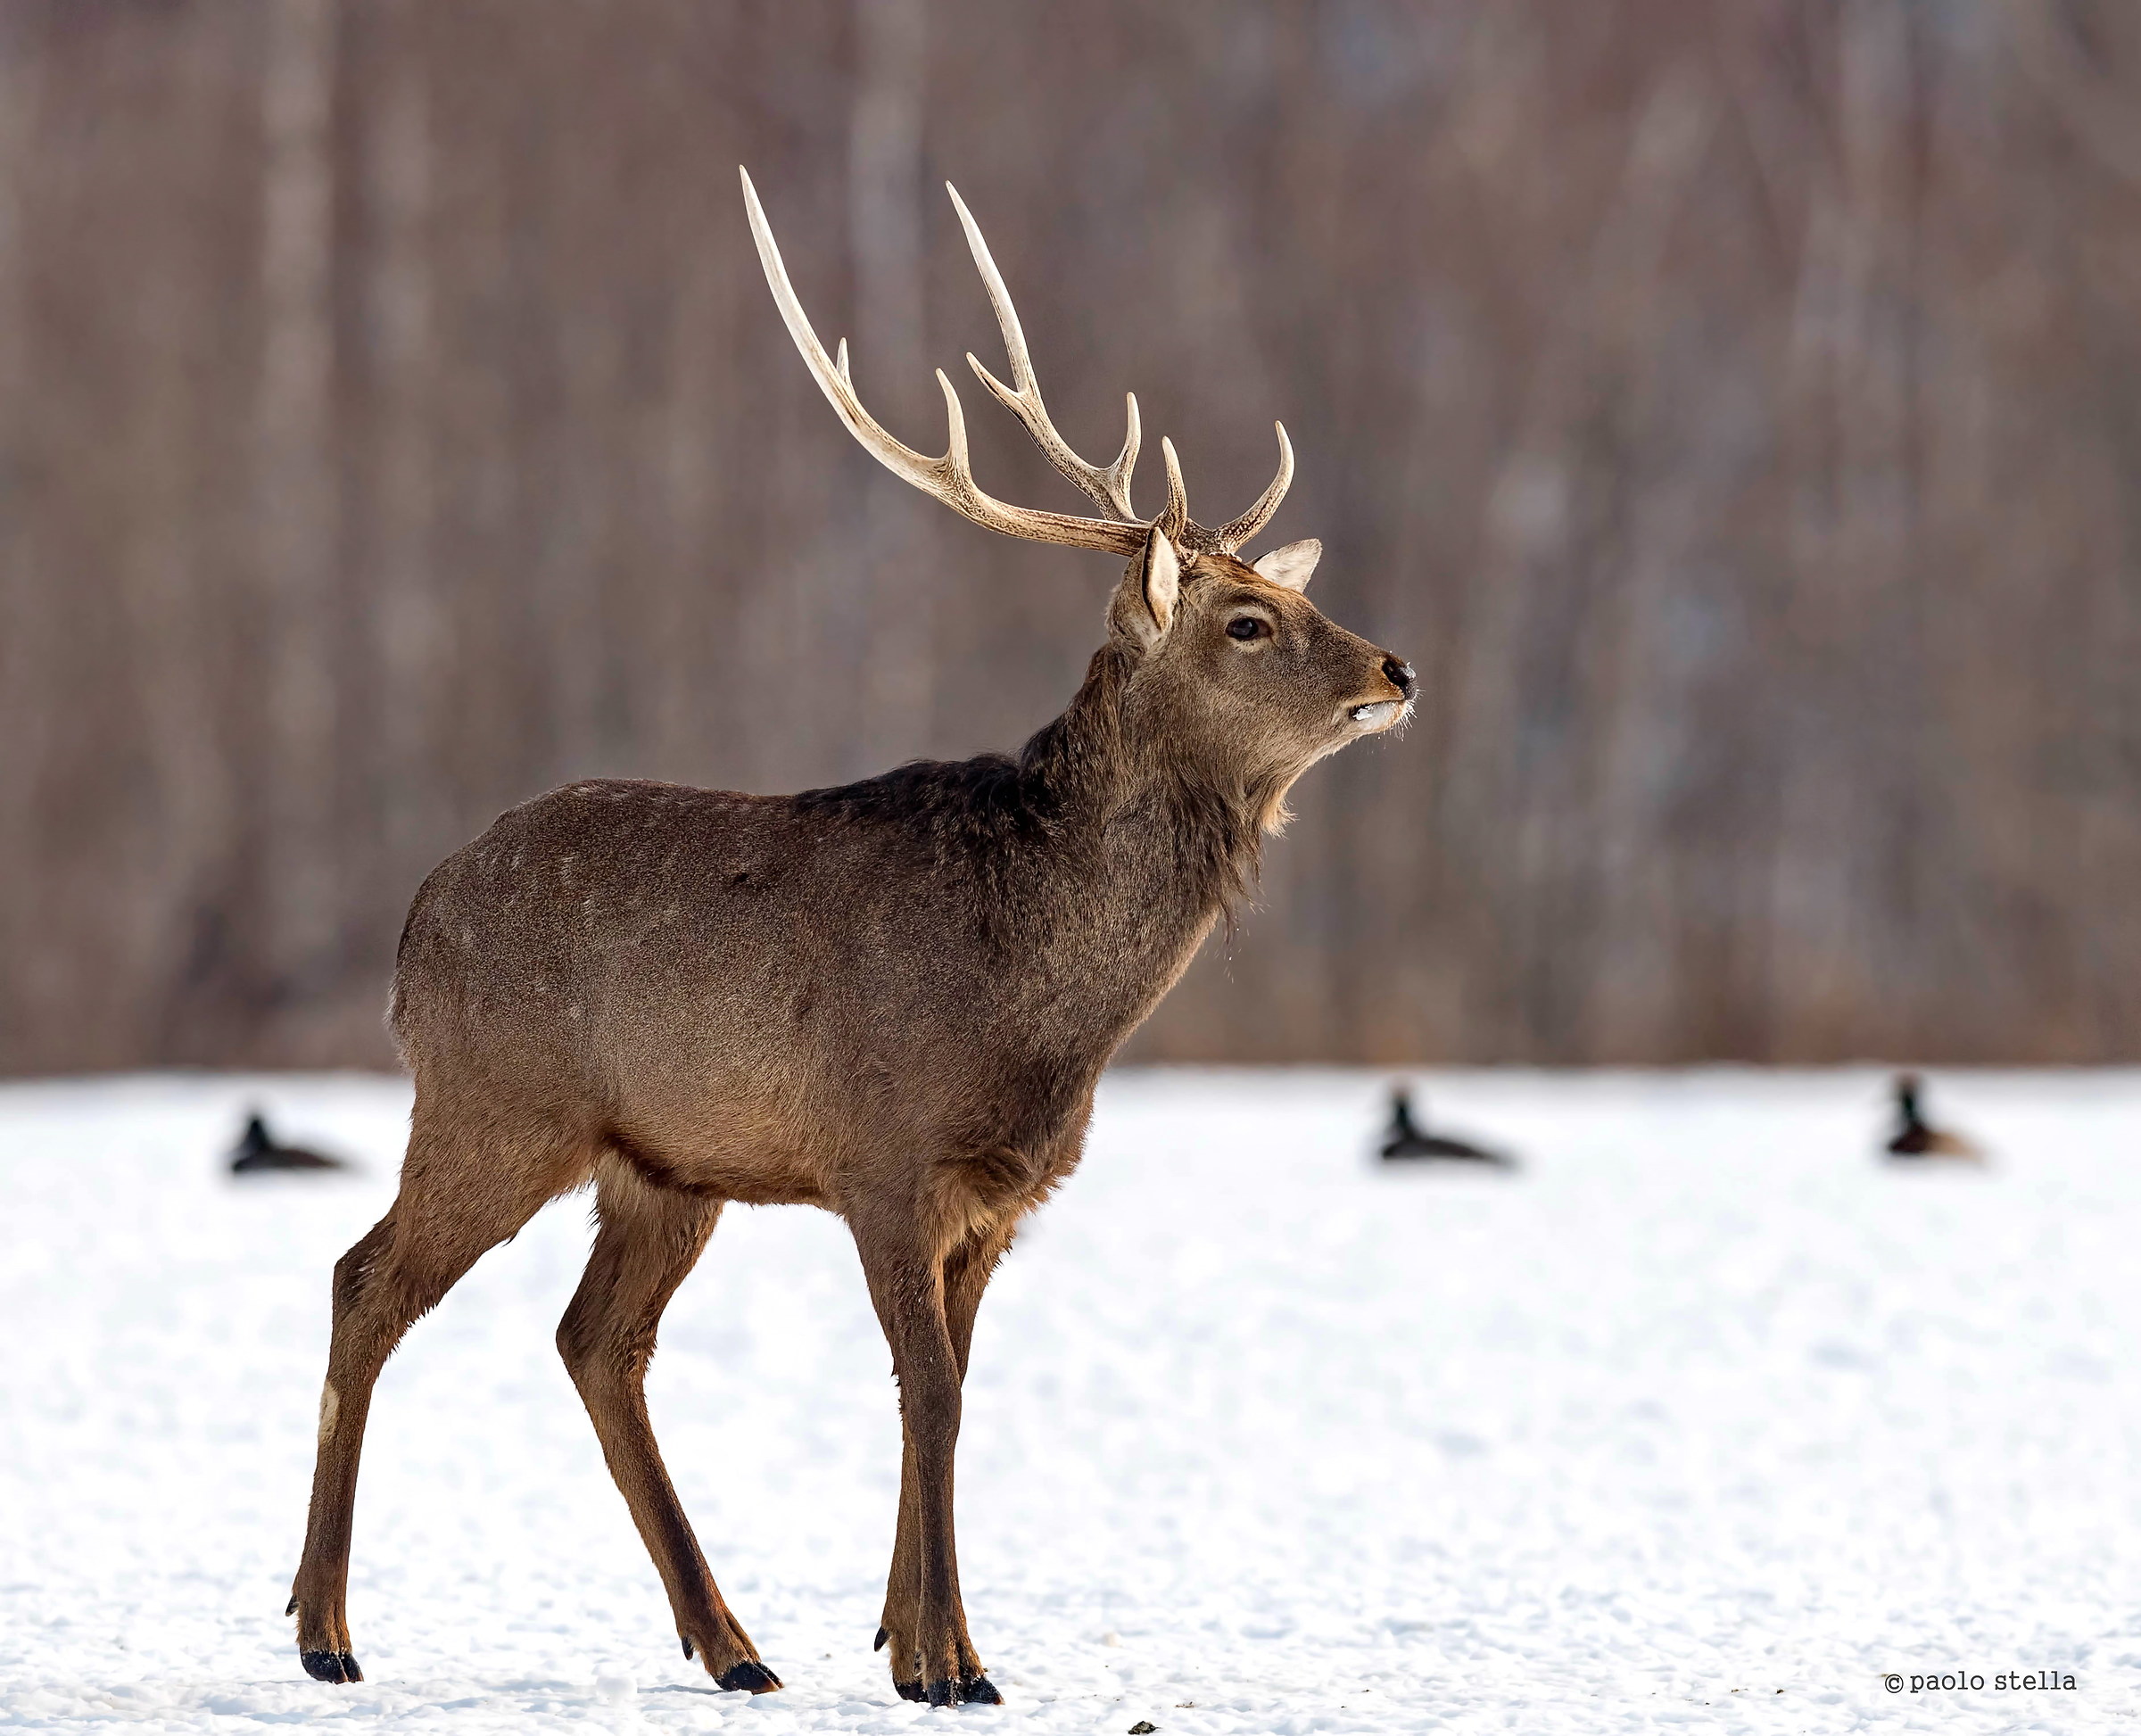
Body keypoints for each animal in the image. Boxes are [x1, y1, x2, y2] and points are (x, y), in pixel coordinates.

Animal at [285, 167, 1415, 1708]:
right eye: (1250, 620)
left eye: (1301, 598)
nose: (1396, 666)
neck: (1044, 1006)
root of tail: (410, 927)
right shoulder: (884, 1152)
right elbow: (928, 1392)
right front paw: (949, 1664)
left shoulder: (1003, 1193)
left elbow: (955, 1388)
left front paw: (920, 1644)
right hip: (493, 1103)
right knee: (367, 1282)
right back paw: (325, 1630)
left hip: (662, 1163)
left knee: (596, 1341)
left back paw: (733, 1645)